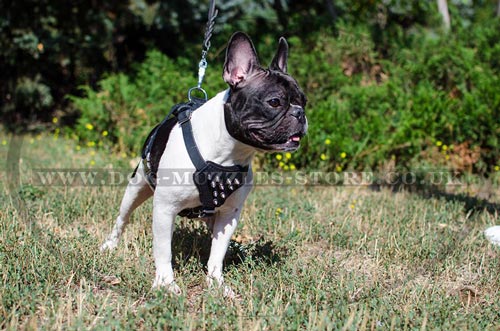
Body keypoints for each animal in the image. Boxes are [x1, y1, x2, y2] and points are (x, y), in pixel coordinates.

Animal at [99, 32, 306, 298]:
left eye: (304, 101)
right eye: (275, 102)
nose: (300, 113)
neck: (228, 153)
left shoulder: (229, 215)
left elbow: (217, 253)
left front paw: (216, 283)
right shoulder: (165, 209)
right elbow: (163, 251)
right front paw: (166, 284)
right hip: (136, 188)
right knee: (122, 219)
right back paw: (110, 245)